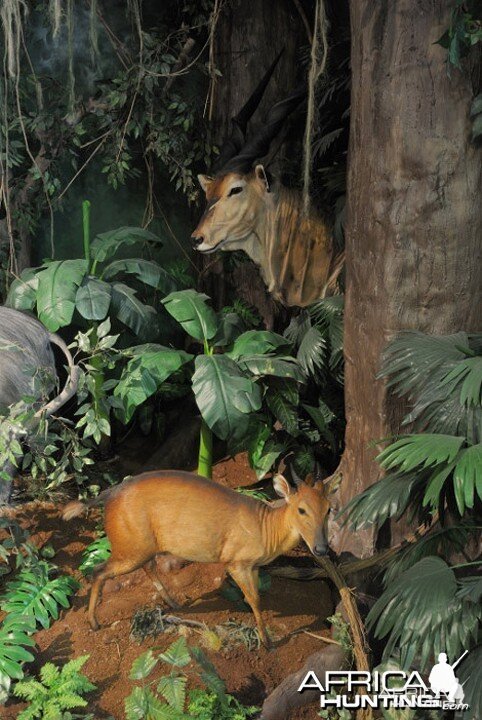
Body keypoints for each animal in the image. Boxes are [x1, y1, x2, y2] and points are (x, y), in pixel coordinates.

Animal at [62, 466, 330, 648]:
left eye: (328, 509)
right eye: (301, 509)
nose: (321, 549)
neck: (267, 527)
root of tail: (109, 493)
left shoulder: (253, 566)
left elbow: (255, 597)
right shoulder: (236, 563)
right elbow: (254, 598)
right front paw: (267, 642)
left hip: (143, 547)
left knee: (148, 567)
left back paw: (174, 604)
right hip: (129, 549)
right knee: (98, 571)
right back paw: (94, 622)